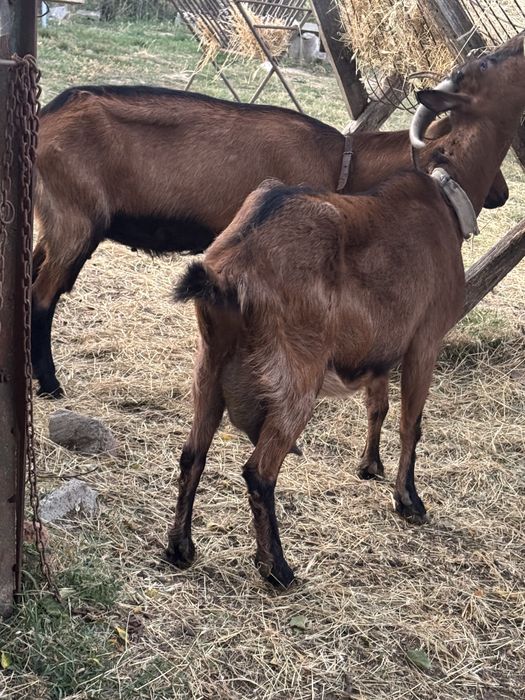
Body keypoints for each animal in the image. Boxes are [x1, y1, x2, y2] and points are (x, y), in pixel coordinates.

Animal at [33, 87, 508, 398]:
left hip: (56, 223)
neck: (341, 160)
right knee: (43, 295)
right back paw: (50, 384)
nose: (502, 194)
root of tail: (46, 117)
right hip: (76, 224)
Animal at [168, 33, 525, 587]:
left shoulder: (379, 347)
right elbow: (412, 422)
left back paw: (180, 547)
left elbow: (378, 406)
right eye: (487, 64)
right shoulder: (425, 339)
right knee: (258, 470)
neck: (444, 196)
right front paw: (409, 501)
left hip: (210, 367)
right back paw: (277, 568)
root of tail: (228, 271)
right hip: (296, 376)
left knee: (192, 454)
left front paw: (368, 466)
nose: (518, 44)